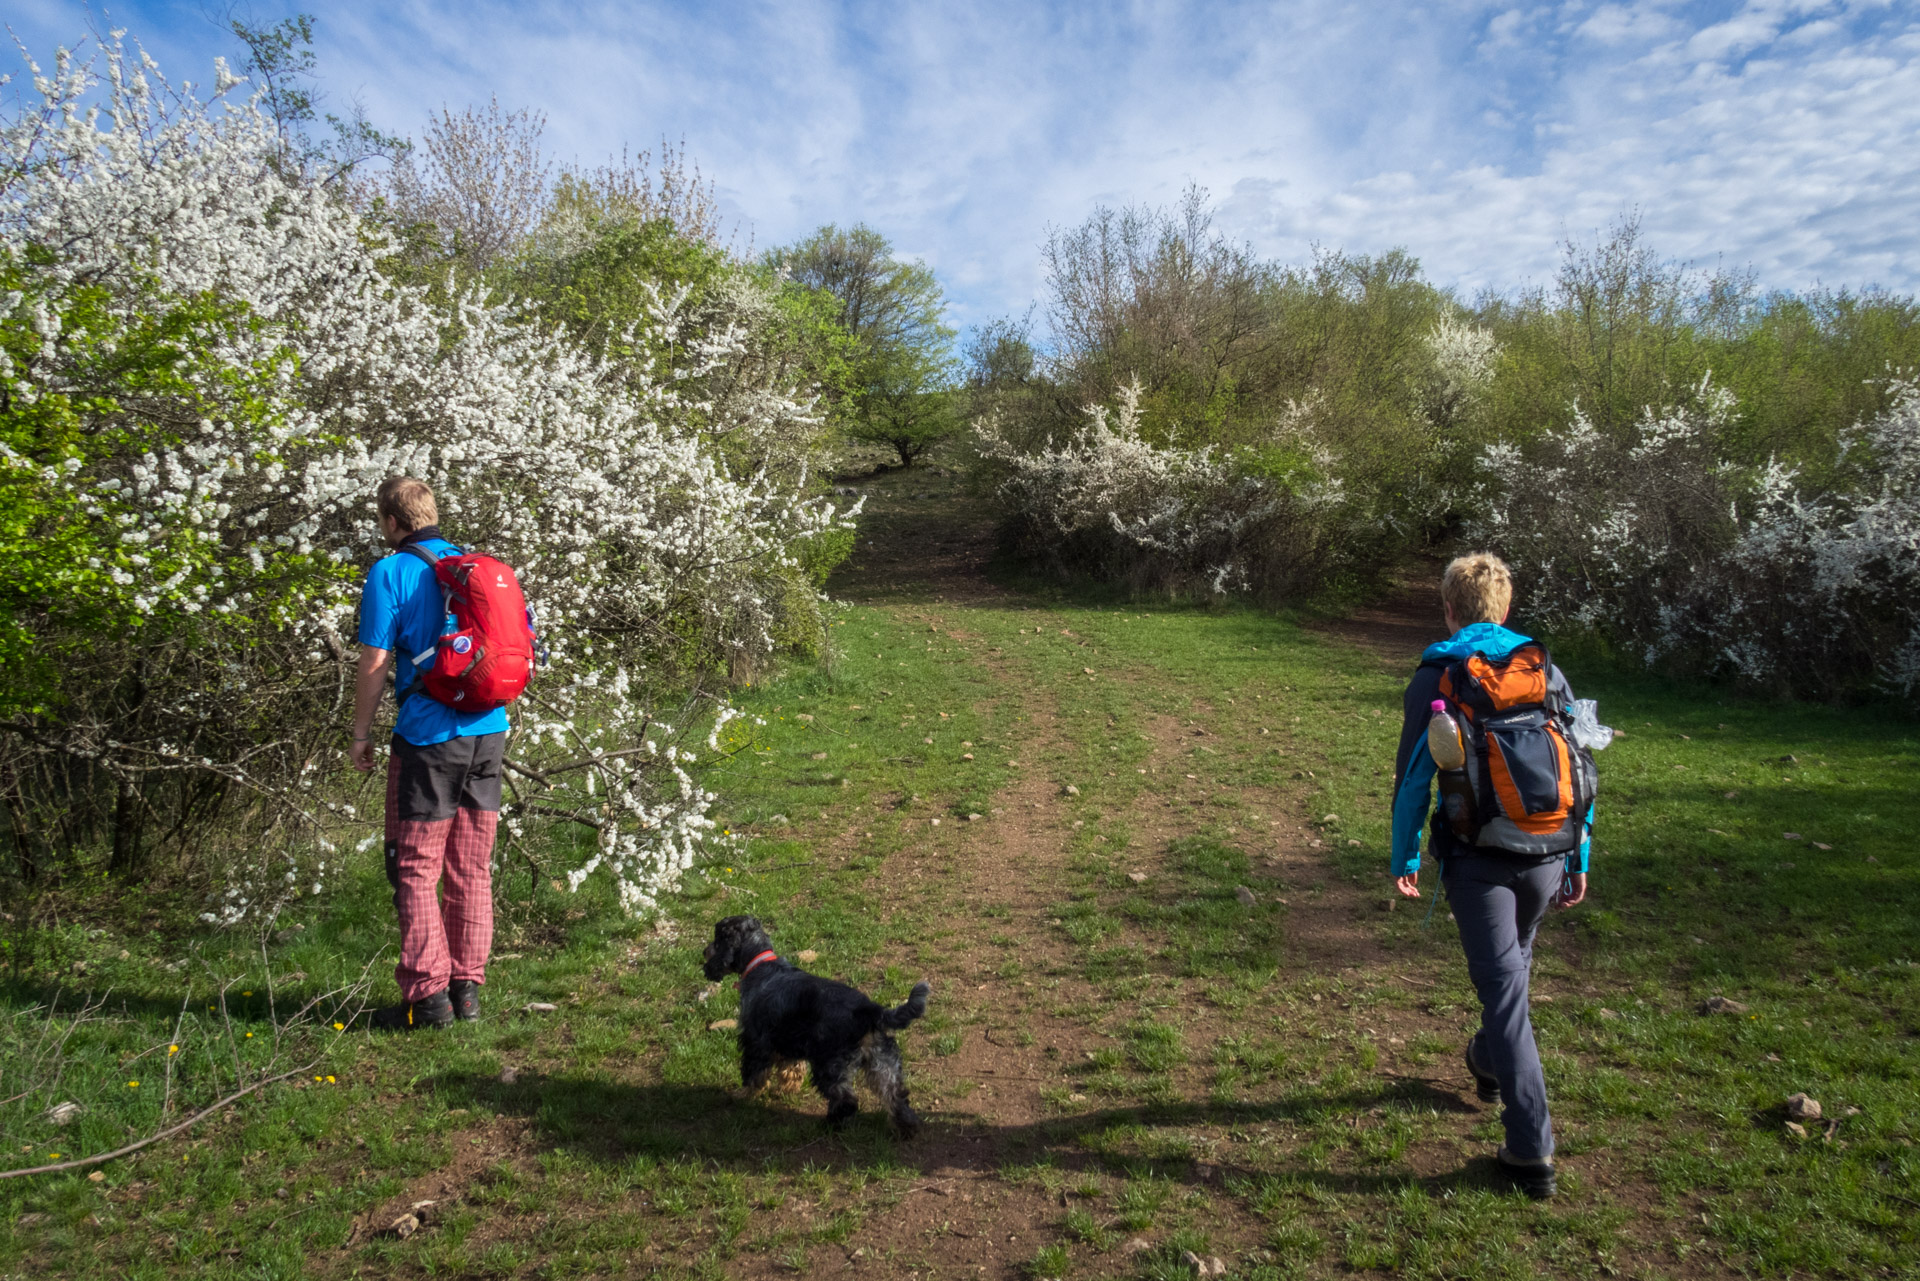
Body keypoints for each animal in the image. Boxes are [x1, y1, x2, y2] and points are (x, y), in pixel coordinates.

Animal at [706, 918, 929, 1136]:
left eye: (717, 940)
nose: (703, 953)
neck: (760, 963)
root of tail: (870, 1010)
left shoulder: (756, 1040)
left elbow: (753, 1073)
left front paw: (743, 1095)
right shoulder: (787, 1040)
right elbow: (791, 1069)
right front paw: (787, 1089)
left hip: (830, 1064)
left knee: (846, 1100)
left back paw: (830, 1124)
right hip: (882, 1061)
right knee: (895, 1095)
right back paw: (907, 1128)